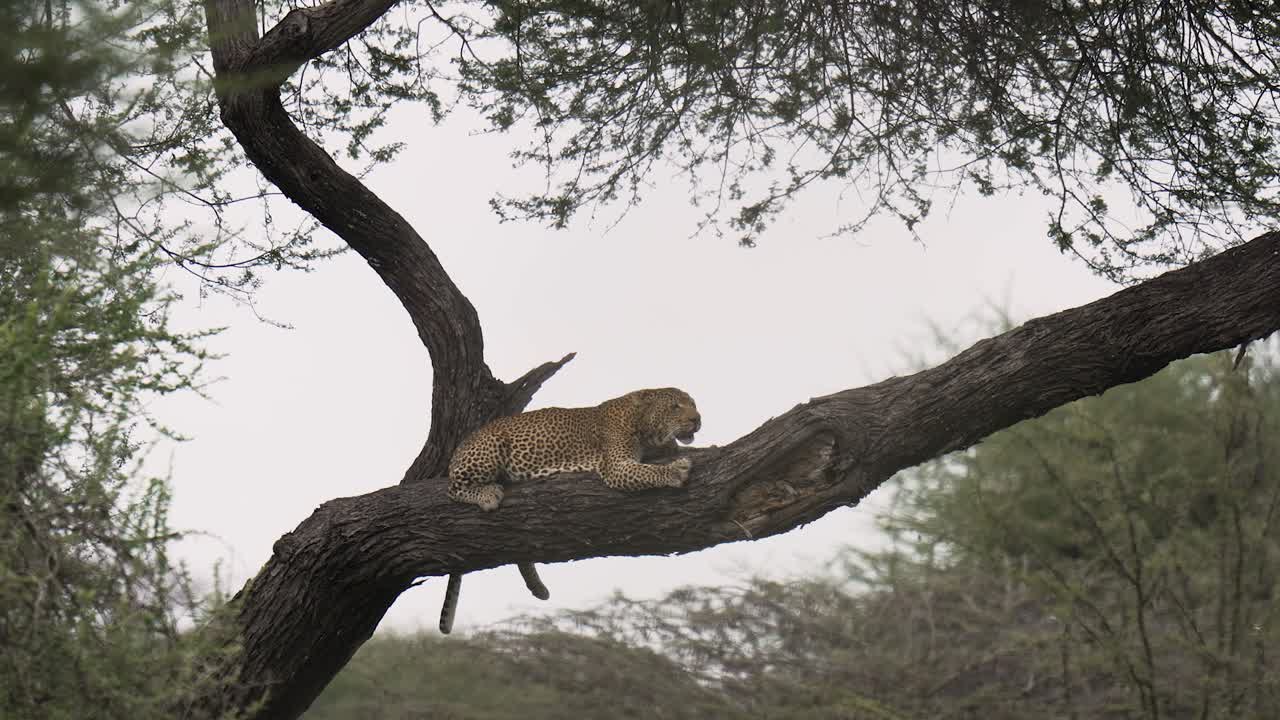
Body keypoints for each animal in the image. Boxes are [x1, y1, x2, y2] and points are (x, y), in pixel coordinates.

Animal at [438, 387, 701, 634]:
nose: (697, 419)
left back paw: (538, 587)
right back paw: (487, 494)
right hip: (489, 448)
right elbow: (647, 471)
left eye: (693, 404)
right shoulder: (616, 467)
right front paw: (675, 471)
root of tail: (459, 449)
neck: (642, 424)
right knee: (453, 489)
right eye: (675, 407)